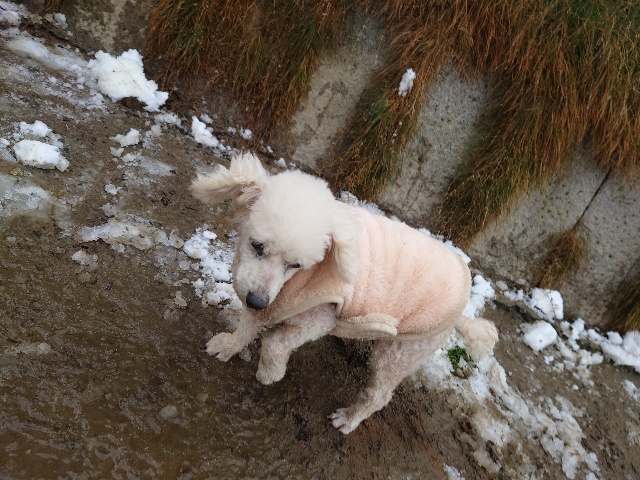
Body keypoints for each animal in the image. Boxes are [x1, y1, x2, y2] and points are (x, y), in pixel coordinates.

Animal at [190, 152, 498, 434]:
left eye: (296, 265)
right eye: (257, 246)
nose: (257, 300)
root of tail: (463, 311)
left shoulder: (318, 318)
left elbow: (275, 344)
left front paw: (270, 372)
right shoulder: (268, 296)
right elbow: (247, 325)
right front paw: (229, 345)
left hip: (402, 351)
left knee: (379, 394)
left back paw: (349, 419)